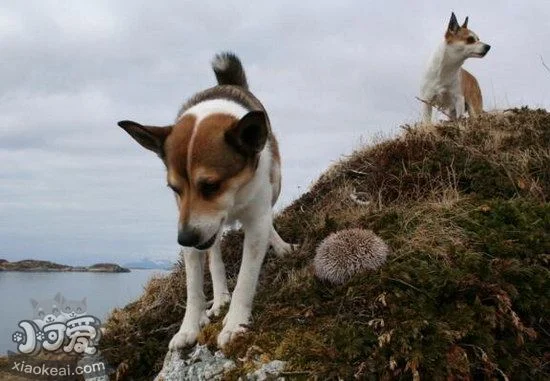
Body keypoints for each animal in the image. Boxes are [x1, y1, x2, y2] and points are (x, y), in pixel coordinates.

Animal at [118, 52, 296, 348]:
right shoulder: (189, 225)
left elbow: (246, 279)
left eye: (211, 185)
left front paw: (235, 323)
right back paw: (221, 296)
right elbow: (193, 288)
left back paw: (279, 246)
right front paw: (189, 327)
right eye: (174, 188)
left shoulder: (255, 221)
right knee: (214, 256)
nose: (185, 238)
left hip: (275, 185)